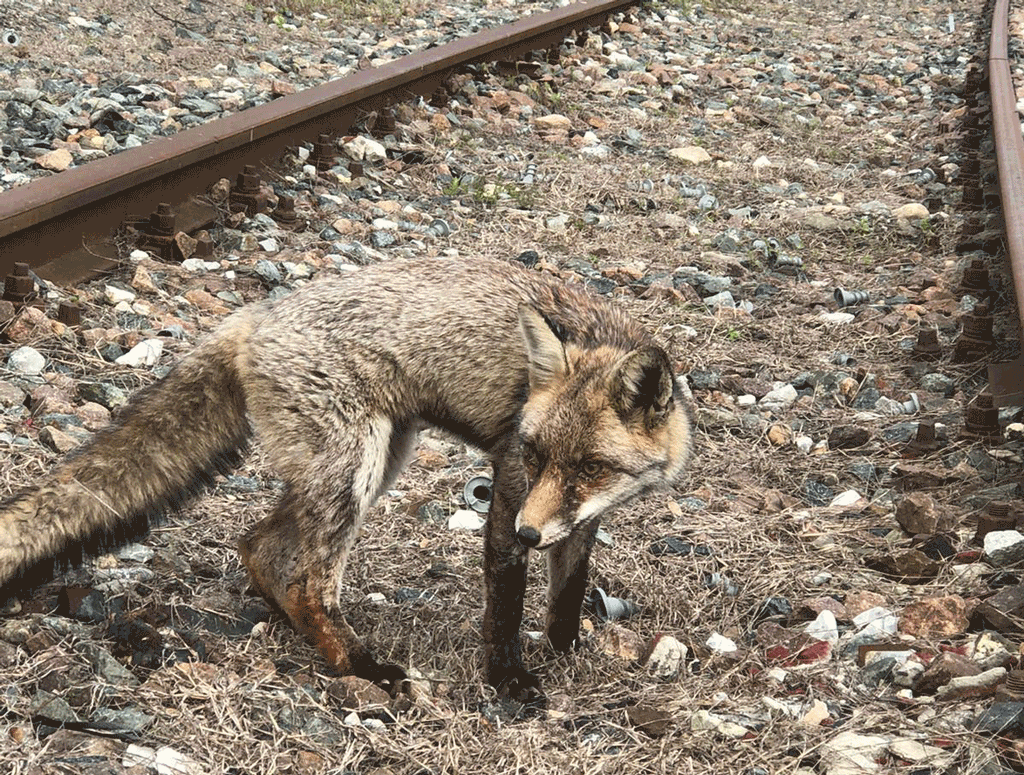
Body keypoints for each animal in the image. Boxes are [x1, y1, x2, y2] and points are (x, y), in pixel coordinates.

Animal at [0, 256, 692, 700]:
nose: (527, 536)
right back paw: (361, 666)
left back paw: (297, 626)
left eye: (591, 468)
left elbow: (567, 592)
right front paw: (510, 682)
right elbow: (505, 604)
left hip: (376, 460)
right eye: (534, 452)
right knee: (306, 578)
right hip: (354, 468)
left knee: (260, 546)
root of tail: (253, 315)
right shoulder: (511, 489)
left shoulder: (578, 516)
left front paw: (567, 650)